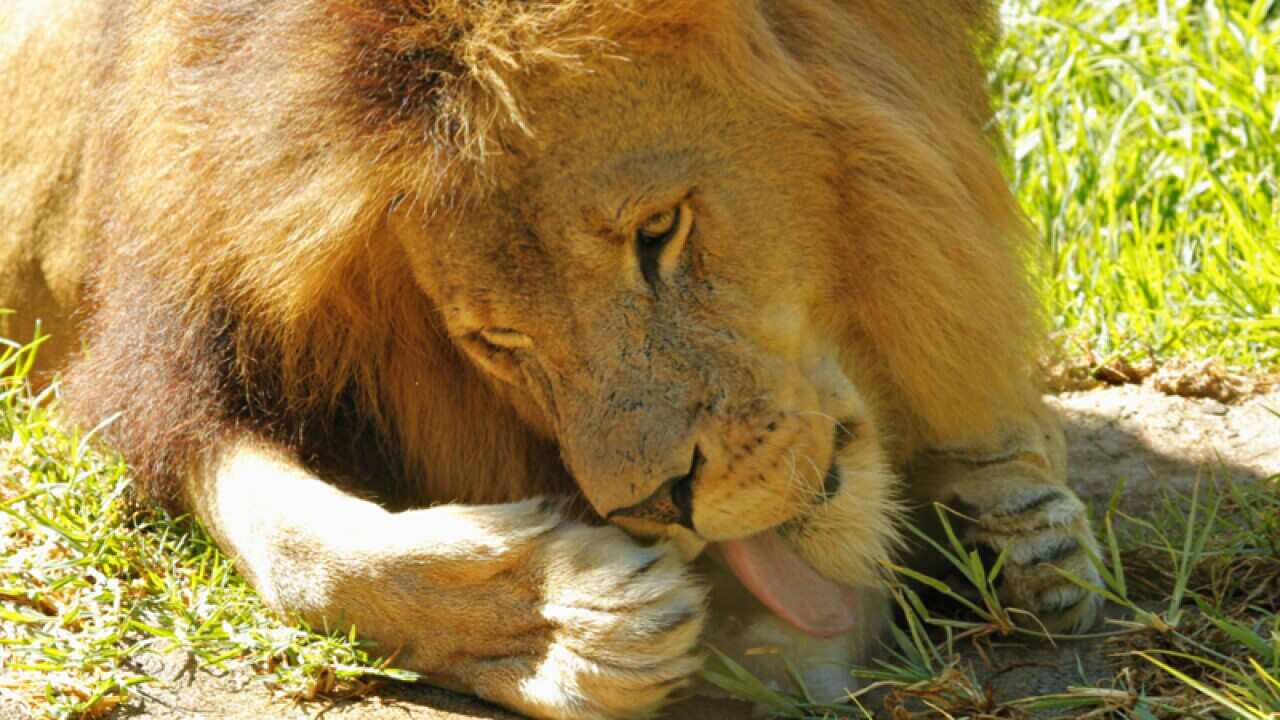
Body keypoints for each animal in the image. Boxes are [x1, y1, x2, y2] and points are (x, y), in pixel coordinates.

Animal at [0, 0, 1103, 717]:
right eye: (498, 340)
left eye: (658, 231)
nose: (658, 503)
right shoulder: (169, 359)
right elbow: (297, 547)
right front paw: (567, 618)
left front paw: (1012, 504)